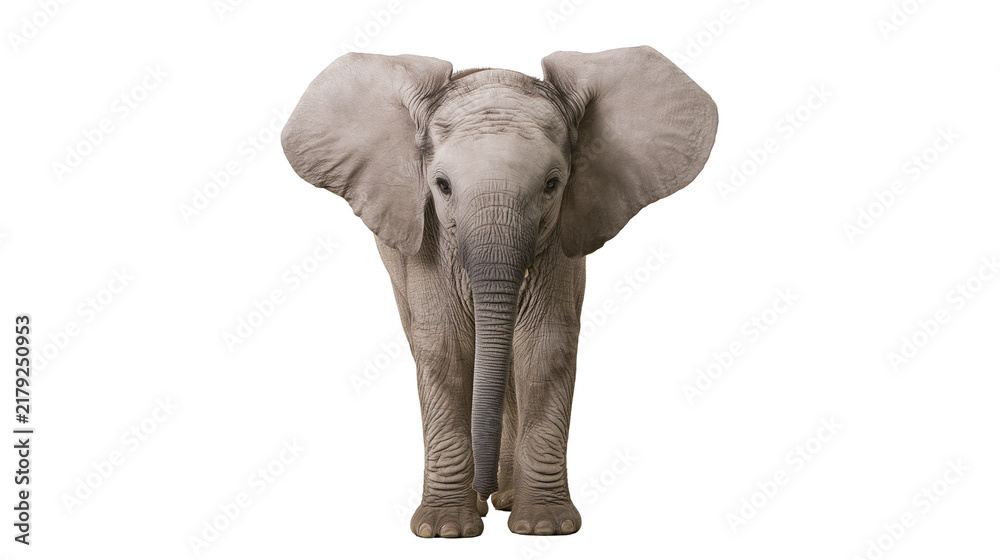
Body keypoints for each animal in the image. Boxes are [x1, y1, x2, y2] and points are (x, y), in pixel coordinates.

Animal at [281, 45, 718, 538]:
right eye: (441, 185)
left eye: (552, 185)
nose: (484, 487)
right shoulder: (427, 238)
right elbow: (445, 347)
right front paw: (446, 531)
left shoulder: (560, 240)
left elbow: (545, 346)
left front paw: (544, 526)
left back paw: (507, 500)